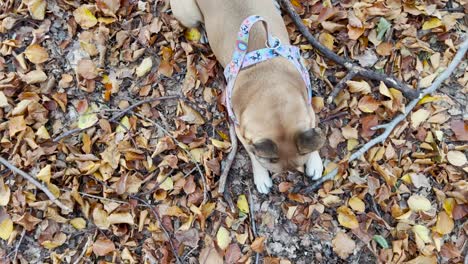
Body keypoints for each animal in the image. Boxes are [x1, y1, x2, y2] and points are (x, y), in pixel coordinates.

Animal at [169, 0, 326, 193]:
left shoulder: (308, 110)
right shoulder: (242, 132)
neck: (271, 94)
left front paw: (315, 161)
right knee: (196, 23)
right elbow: (253, 154)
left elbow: (312, 134)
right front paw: (261, 177)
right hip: (186, 12)